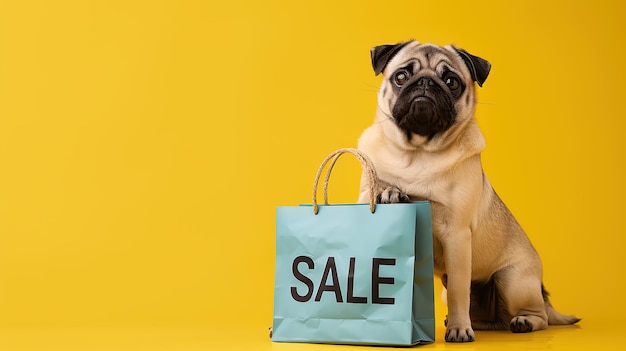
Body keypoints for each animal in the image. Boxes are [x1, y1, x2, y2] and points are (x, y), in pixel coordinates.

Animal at [354, 41, 576, 344]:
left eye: (451, 82)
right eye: (401, 76)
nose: (426, 82)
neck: (417, 153)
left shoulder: (457, 235)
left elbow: (461, 292)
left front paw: (459, 330)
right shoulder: (364, 195)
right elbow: (378, 188)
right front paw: (390, 191)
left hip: (512, 281)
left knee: (535, 315)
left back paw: (520, 322)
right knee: (492, 320)